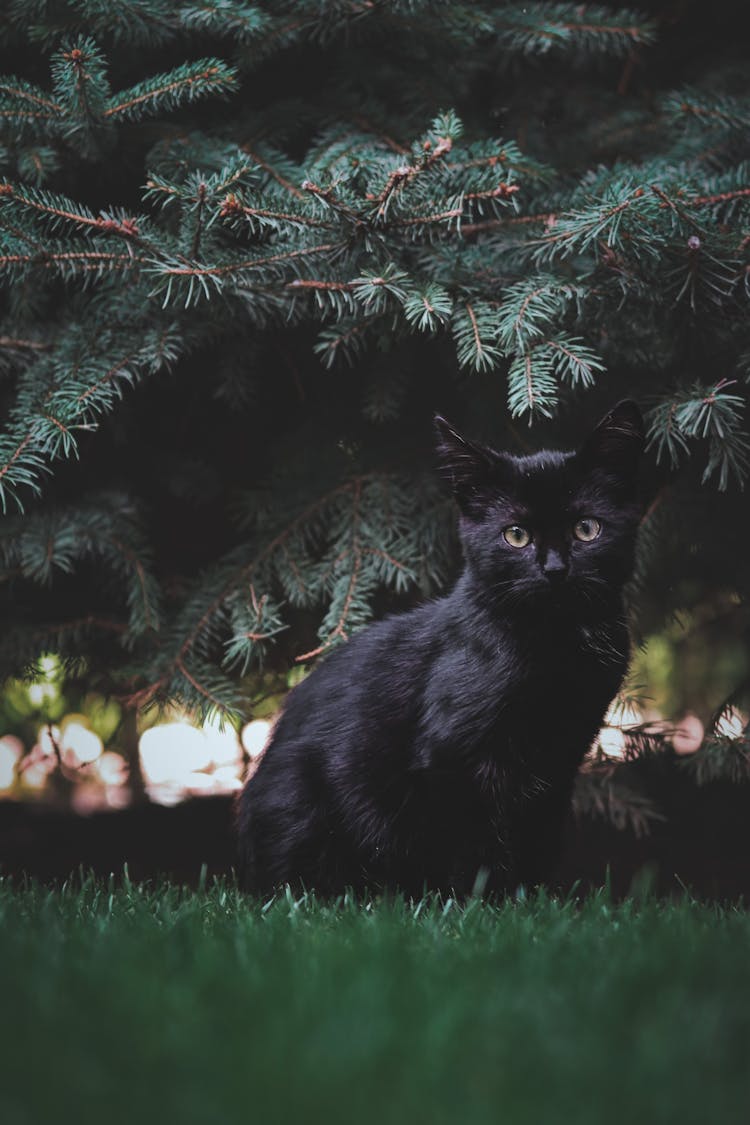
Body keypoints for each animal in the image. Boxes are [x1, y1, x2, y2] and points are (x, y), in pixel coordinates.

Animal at [239, 402, 647, 895]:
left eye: (586, 529)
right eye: (515, 535)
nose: (554, 569)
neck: (556, 639)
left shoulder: (561, 755)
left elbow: (537, 833)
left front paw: (536, 900)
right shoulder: (454, 757)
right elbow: (474, 843)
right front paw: (481, 904)